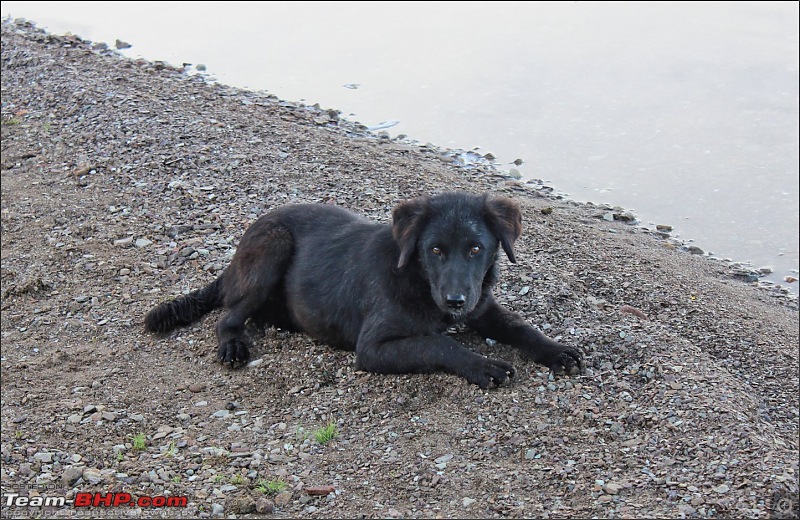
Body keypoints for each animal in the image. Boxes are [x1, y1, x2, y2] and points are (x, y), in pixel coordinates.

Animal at [144, 191, 580, 386]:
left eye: (476, 248)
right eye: (435, 250)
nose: (454, 301)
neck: (418, 280)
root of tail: (234, 258)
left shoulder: (482, 307)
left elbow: (521, 327)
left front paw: (556, 350)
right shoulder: (372, 348)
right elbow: (437, 343)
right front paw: (481, 364)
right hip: (272, 246)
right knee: (228, 317)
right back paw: (234, 344)